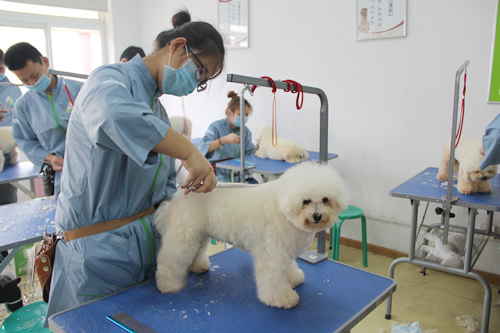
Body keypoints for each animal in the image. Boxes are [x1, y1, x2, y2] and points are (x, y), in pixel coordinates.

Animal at [154, 162, 346, 308]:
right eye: (306, 201)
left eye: (325, 200)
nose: (317, 215)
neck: (283, 208)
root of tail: (180, 194)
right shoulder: (272, 254)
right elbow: (273, 278)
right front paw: (281, 297)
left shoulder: (285, 249)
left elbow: (288, 268)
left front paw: (293, 278)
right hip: (182, 238)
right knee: (169, 261)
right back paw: (168, 285)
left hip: (198, 235)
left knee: (197, 253)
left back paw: (198, 266)